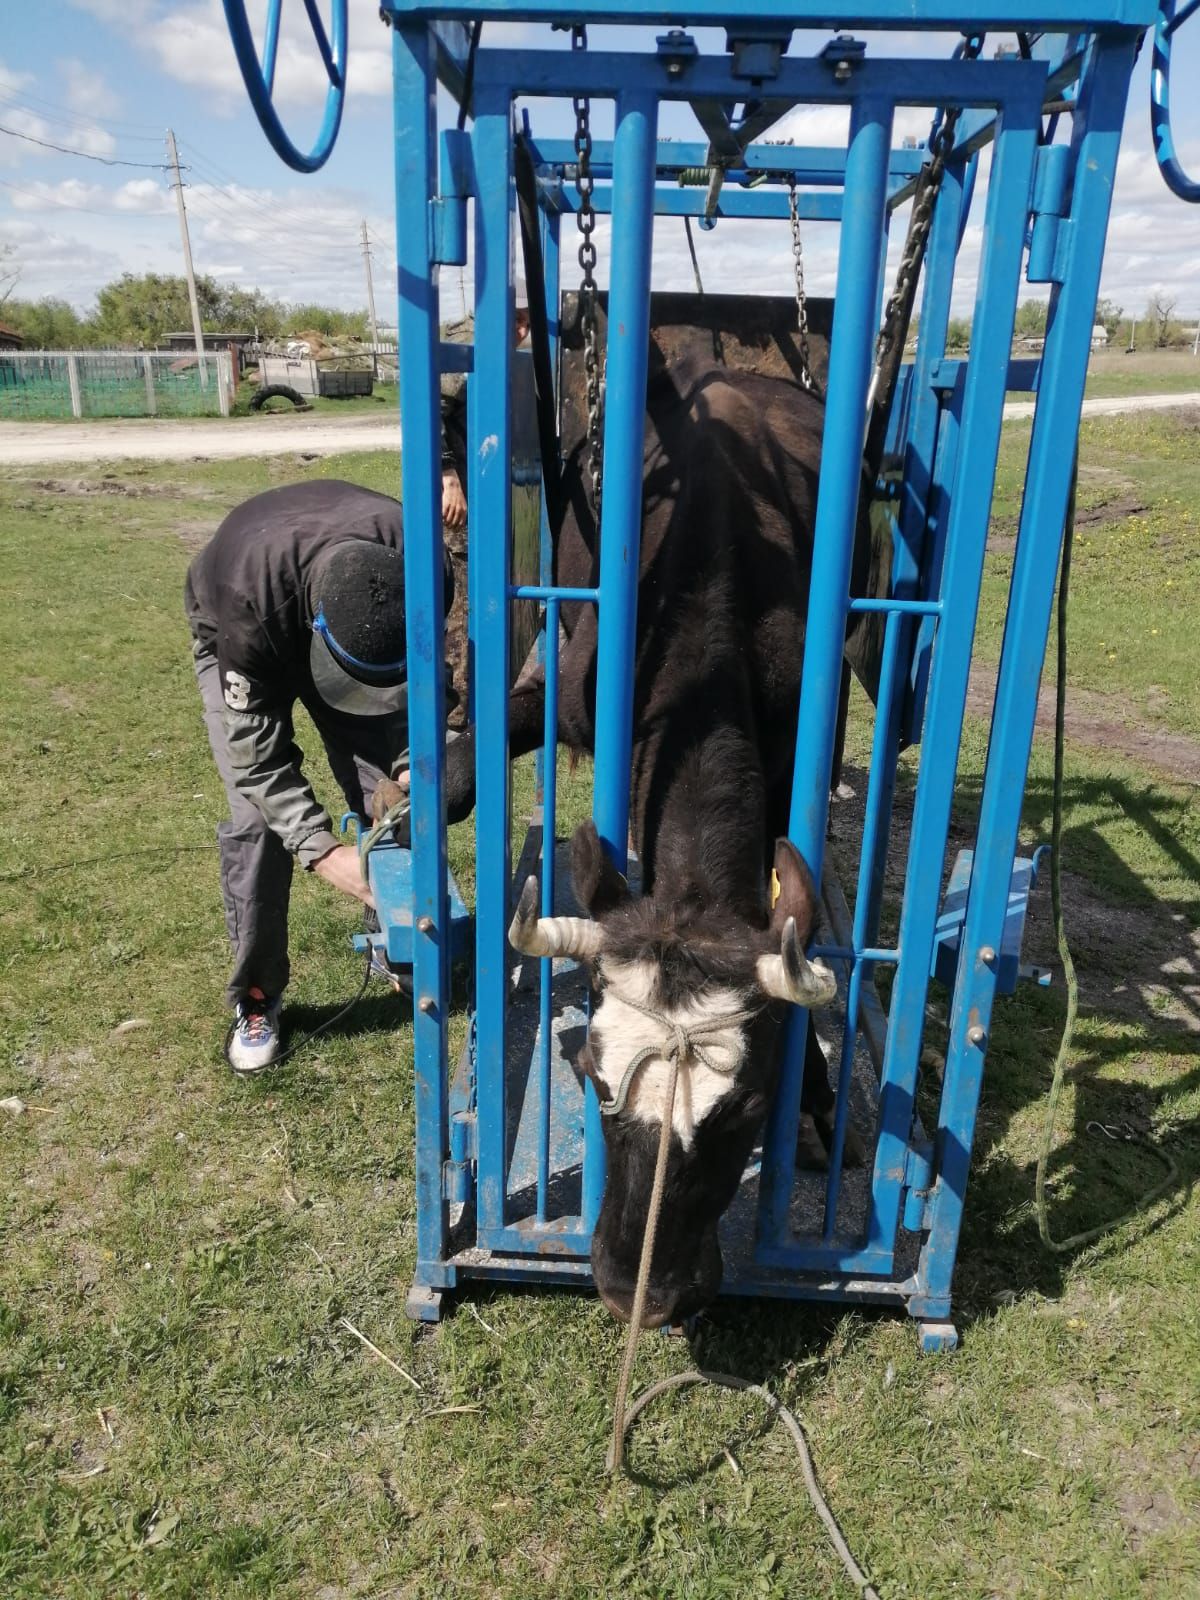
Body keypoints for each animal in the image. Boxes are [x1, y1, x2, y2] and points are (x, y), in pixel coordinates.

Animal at [448, 353, 870, 1324]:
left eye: (745, 1111)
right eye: (593, 1079)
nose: (640, 1289)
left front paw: (820, 1101)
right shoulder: (572, 685)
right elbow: (490, 735)